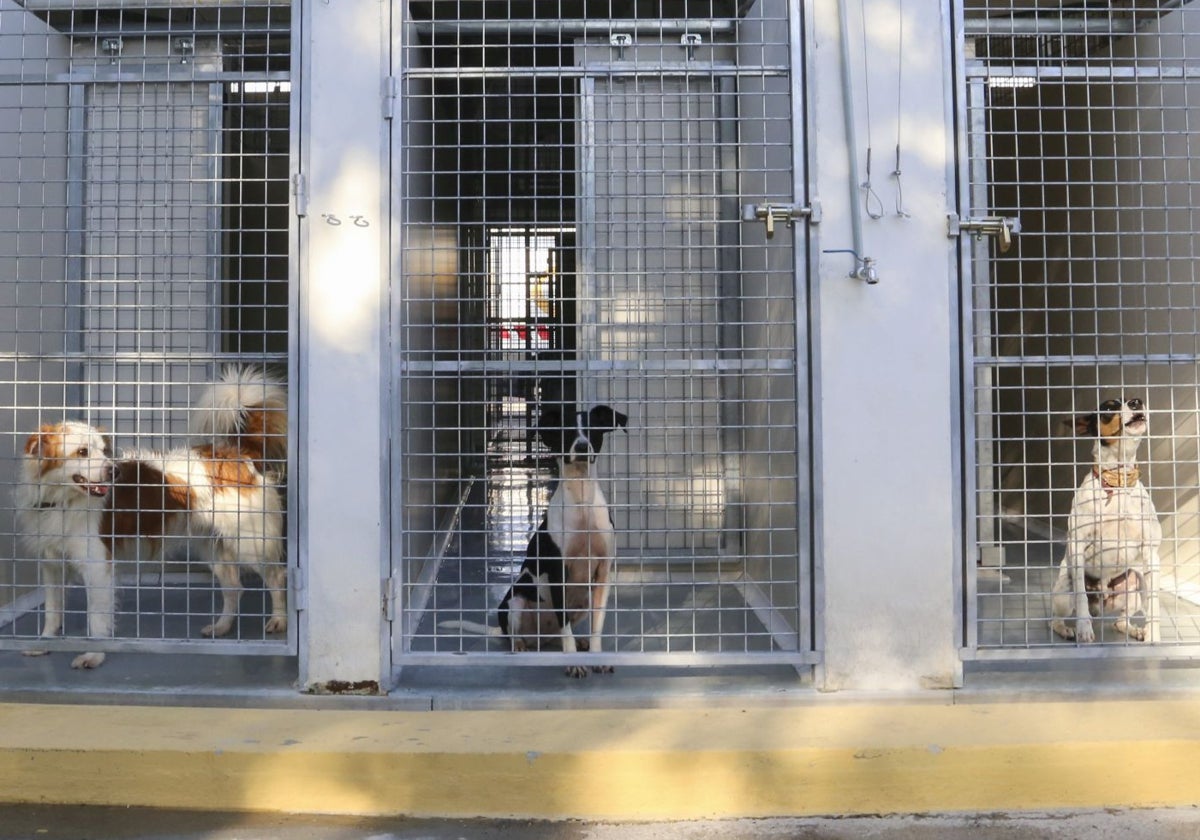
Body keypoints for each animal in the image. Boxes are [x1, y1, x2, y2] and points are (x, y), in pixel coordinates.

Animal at [16, 367, 288, 667]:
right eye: (82, 452)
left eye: (104, 451)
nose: (114, 472)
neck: (63, 500)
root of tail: (236, 453)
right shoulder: (52, 564)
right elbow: (52, 610)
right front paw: (44, 643)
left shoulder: (97, 566)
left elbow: (96, 617)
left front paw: (94, 654)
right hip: (212, 546)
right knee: (233, 587)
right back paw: (222, 627)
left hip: (250, 542)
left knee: (277, 577)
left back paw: (279, 621)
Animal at [441, 400, 628, 676]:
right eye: (566, 432)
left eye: (593, 430)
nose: (582, 446)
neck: (581, 499)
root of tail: (539, 637)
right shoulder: (558, 572)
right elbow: (565, 625)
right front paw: (573, 663)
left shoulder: (603, 573)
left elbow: (597, 624)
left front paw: (597, 656)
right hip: (515, 604)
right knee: (518, 635)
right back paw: (520, 646)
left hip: (581, 601)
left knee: (559, 632)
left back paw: (576, 642)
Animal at [1056, 398, 1156, 643]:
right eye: (1109, 408)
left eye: (1133, 399)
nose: (1137, 401)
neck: (1118, 483)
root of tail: (1100, 608)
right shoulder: (1078, 545)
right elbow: (1082, 597)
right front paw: (1083, 628)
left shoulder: (1149, 550)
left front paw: (1153, 636)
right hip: (1064, 591)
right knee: (1056, 619)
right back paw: (1068, 630)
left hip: (1135, 590)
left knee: (1120, 621)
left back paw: (1136, 630)